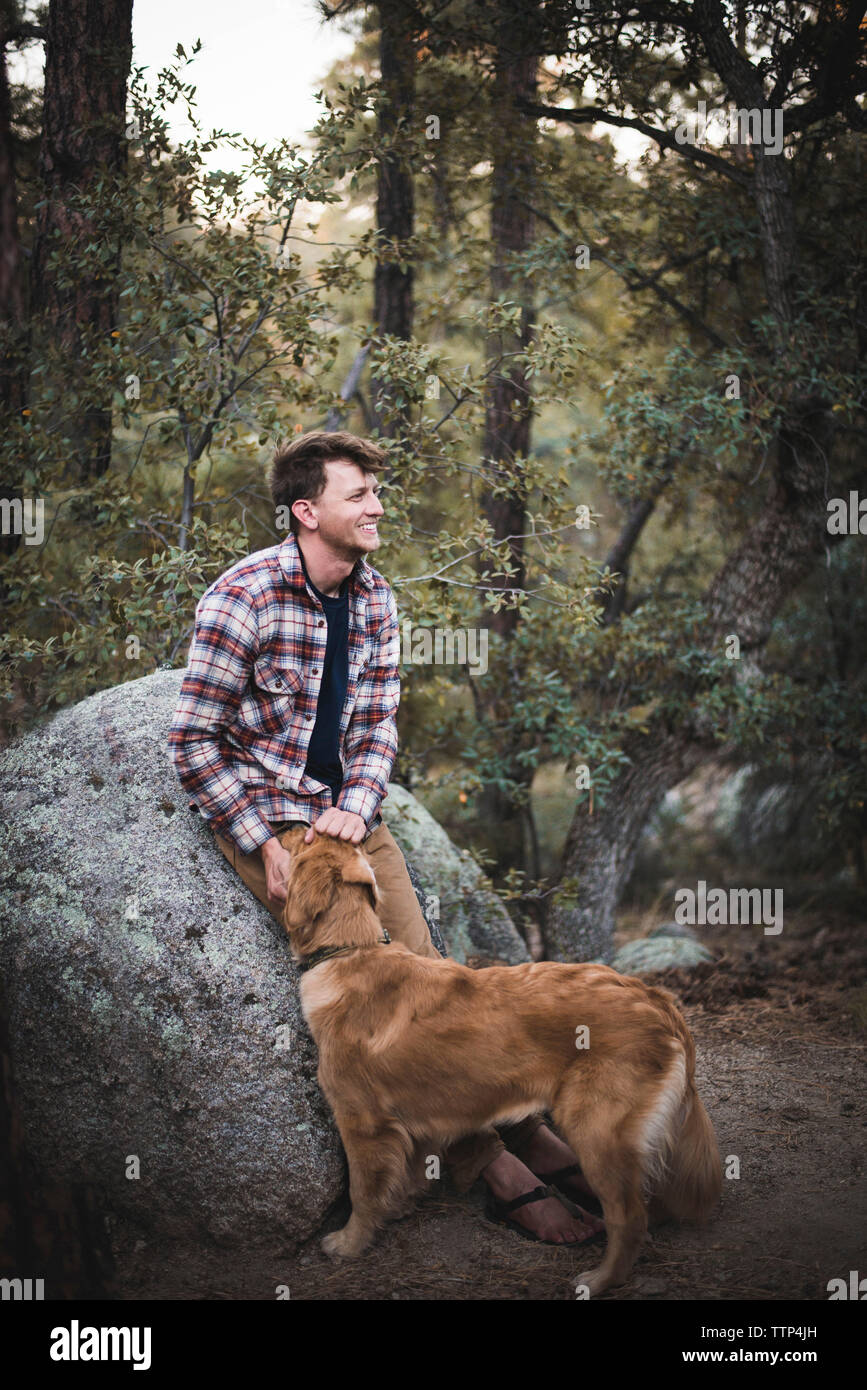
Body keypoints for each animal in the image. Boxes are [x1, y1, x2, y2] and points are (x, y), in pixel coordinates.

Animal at [280, 822, 722, 1289]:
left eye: (304, 838)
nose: (286, 823)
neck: (352, 949)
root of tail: (656, 999)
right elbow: (404, 1175)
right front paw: (396, 1208)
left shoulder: (362, 1122)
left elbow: (362, 1192)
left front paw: (350, 1242)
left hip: (597, 1130)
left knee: (630, 1219)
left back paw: (599, 1278)